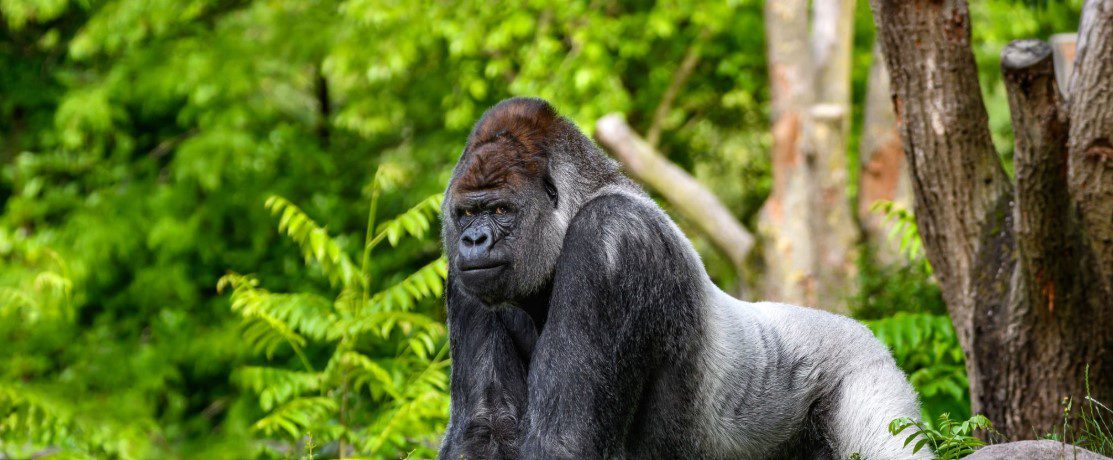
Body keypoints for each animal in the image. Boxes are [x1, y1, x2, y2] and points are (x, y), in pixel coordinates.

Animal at [438, 97, 928, 459]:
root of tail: (865, 333)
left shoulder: (611, 239)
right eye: (467, 213)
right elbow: (483, 427)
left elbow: (563, 440)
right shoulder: (464, 279)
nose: (473, 240)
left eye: (501, 209)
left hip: (868, 376)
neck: (582, 201)